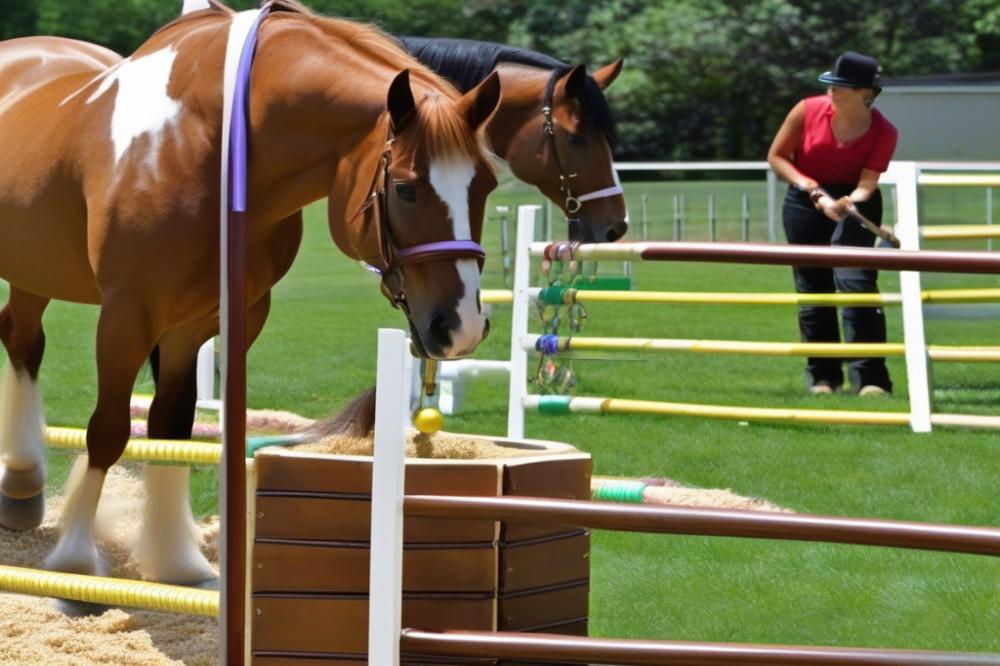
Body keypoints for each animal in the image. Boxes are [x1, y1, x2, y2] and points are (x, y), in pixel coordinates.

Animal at [0, 0, 500, 580]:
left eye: (487, 183)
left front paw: (175, 562)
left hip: (34, 272)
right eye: (405, 188)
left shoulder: (203, 323)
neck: (209, 139)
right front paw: (76, 559)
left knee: (21, 339)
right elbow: (108, 430)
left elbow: (172, 428)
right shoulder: (128, 314)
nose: (462, 326)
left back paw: (20, 485)